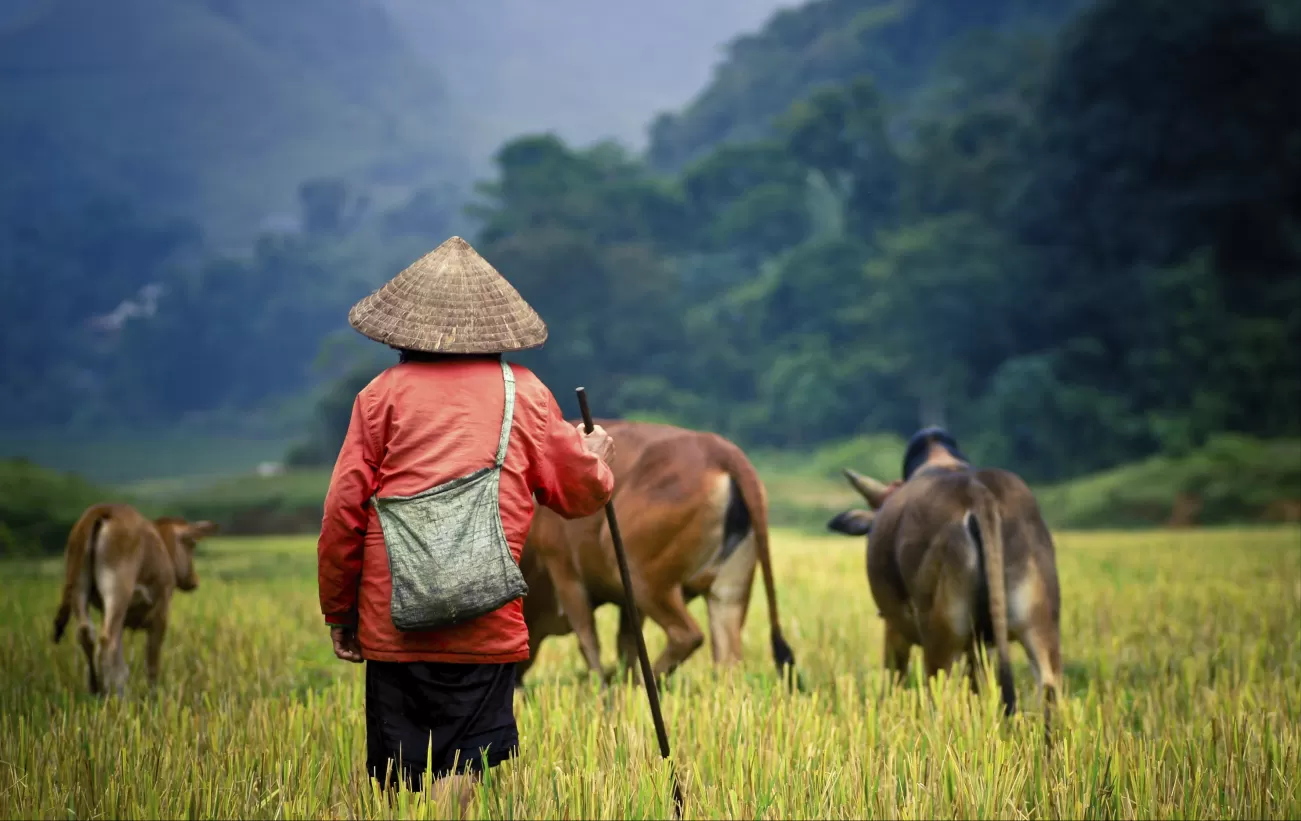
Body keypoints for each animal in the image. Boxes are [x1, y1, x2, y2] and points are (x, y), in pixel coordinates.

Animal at [51, 504, 215, 697]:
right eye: (192, 544)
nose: (194, 580)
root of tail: (103, 509)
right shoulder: (161, 611)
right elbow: (151, 661)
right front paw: (154, 696)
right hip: (118, 589)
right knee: (107, 642)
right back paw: (113, 693)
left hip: (78, 587)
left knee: (86, 633)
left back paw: (97, 688)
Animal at [515, 424, 796, 686]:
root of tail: (720, 451)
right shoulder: (627, 604)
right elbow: (626, 645)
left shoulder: (565, 572)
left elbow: (588, 641)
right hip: (728, 593)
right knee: (729, 663)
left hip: (644, 577)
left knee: (687, 635)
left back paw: (643, 684)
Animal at [827, 429, 1061, 733]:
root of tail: (978, 493)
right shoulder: (979, 645)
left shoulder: (895, 627)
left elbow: (894, 681)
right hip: (1038, 625)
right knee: (1049, 689)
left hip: (940, 635)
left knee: (938, 697)